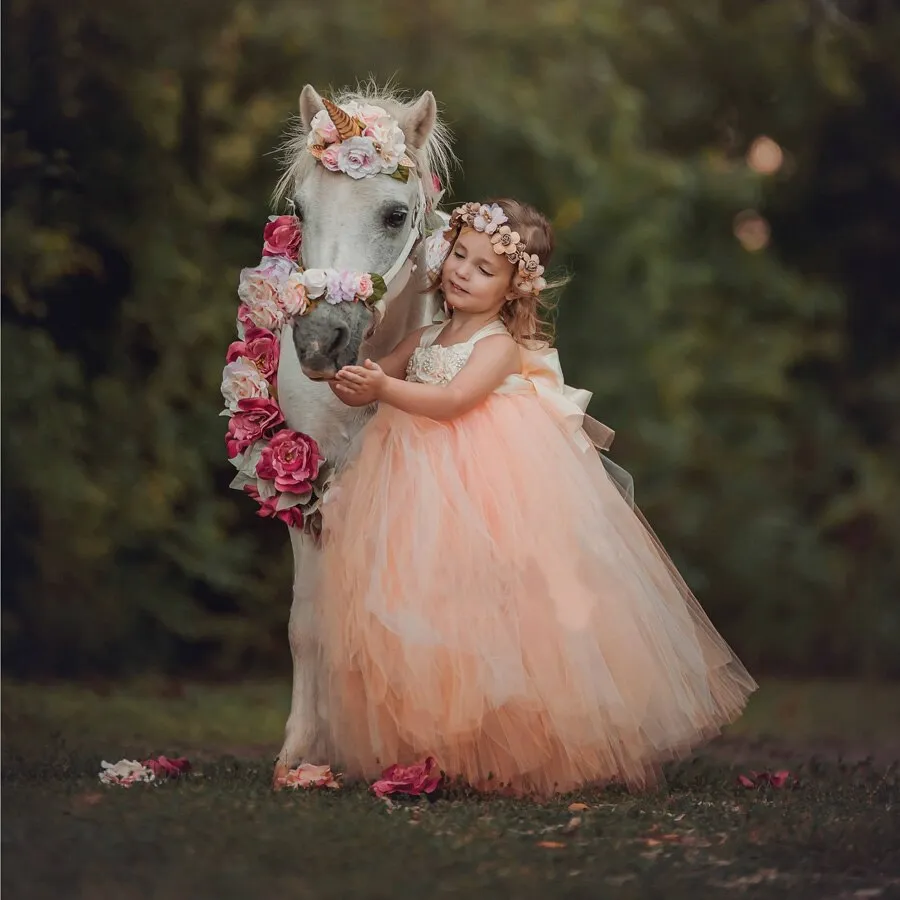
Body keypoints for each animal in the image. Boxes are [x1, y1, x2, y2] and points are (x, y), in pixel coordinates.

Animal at [266, 86, 450, 788]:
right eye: (299, 208)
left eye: (396, 215)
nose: (321, 342)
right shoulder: (303, 498)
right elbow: (306, 625)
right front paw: (299, 751)